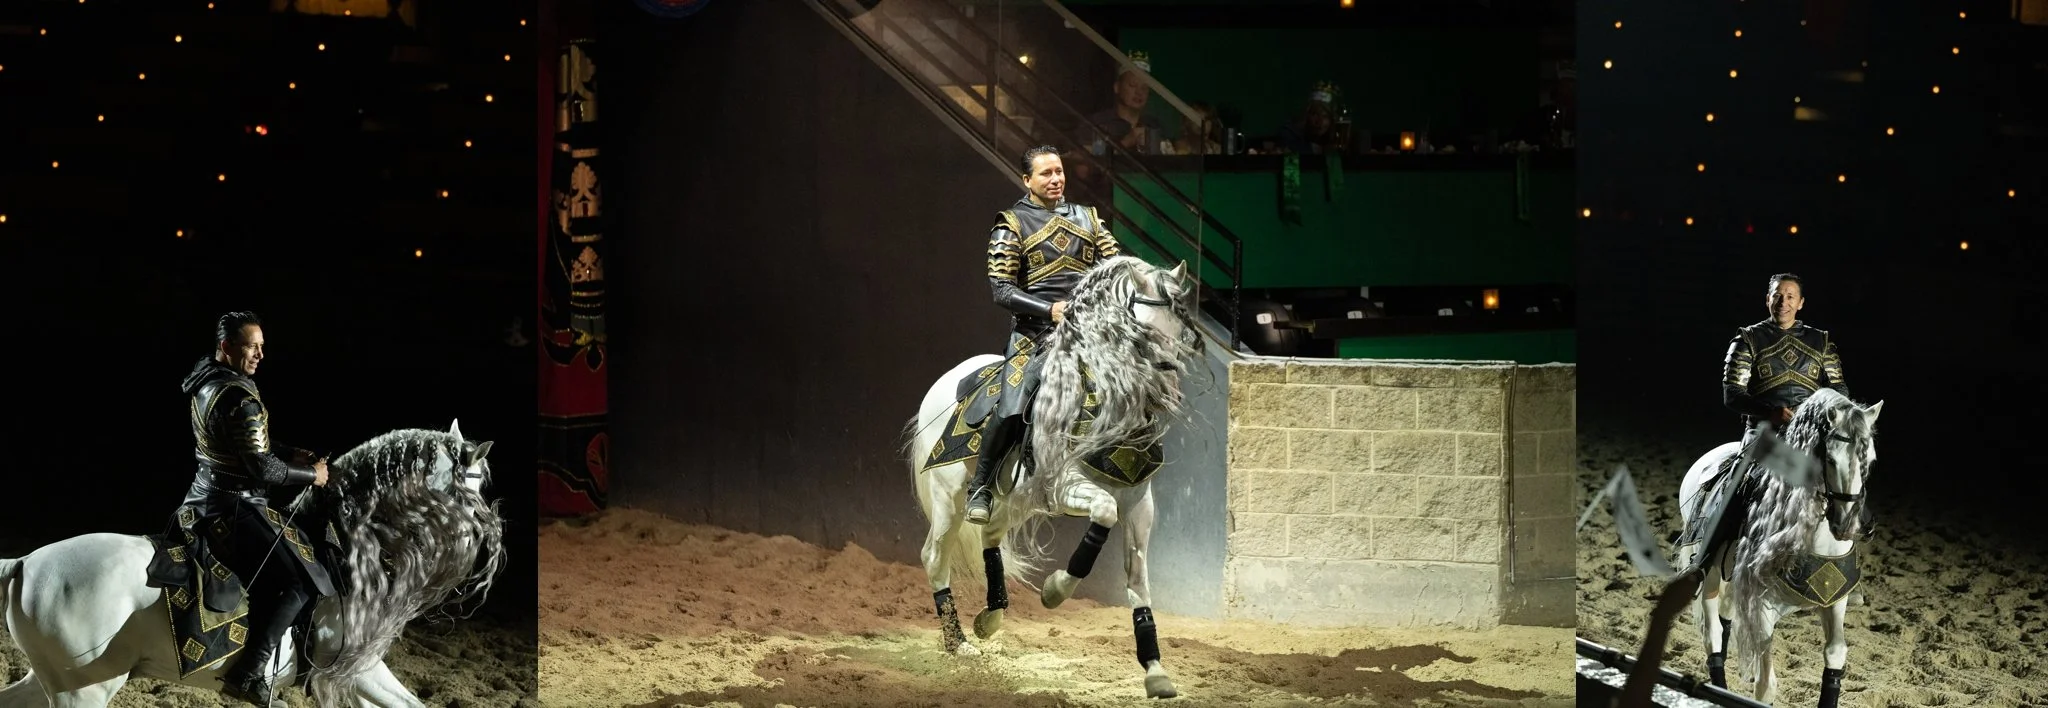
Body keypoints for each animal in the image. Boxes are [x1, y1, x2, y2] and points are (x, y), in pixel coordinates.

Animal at [0, 420, 506, 708]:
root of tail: (24, 561)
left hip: (54, 682)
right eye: (475, 487)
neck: (340, 552)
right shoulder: (355, 670)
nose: (483, 540)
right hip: (83, 691)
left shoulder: (355, 675)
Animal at [904, 256, 1200, 700]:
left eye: (1179, 327)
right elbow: (1103, 514)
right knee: (935, 556)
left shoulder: (1139, 503)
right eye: (1141, 329)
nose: (1164, 382)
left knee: (991, 532)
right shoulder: (1063, 488)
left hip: (1017, 499)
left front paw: (1155, 671)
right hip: (949, 498)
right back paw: (959, 644)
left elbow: (1137, 578)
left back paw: (989, 618)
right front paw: (1056, 589)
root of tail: (943, 384)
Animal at [1675, 389, 1882, 707]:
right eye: (1830, 459)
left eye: (1869, 459)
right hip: (1709, 571)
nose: (1847, 524)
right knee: (1713, 633)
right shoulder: (1760, 603)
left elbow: (1835, 653)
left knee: (1726, 619)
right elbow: (1766, 685)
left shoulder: (1835, 598)